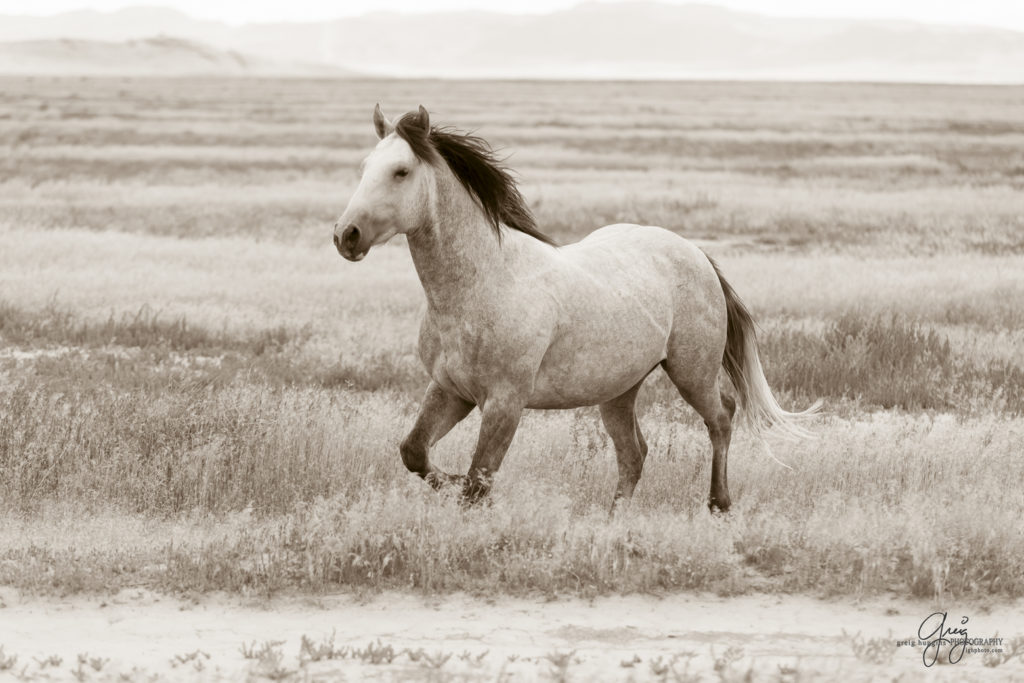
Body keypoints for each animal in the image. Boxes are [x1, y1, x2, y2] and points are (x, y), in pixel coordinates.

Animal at [333, 105, 815, 511]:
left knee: (722, 417)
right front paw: (448, 481)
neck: (482, 285)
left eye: (401, 171)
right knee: (634, 453)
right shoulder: (450, 391)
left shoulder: (505, 403)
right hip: (619, 390)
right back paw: (614, 522)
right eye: (363, 168)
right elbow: (415, 452)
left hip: (691, 372)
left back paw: (719, 505)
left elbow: (478, 482)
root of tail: (696, 253)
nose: (346, 235)